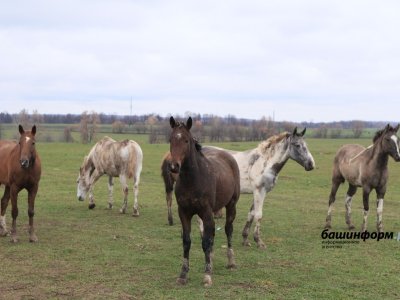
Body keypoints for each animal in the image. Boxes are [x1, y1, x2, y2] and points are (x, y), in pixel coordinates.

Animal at [168, 116, 239, 288]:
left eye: (186, 140)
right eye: (171, 140)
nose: (174, 166)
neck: (193, 179)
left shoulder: (205, 212)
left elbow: (206, 241)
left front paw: (207, 276)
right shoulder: (184, 213)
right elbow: (187, 241)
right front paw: (183, 275)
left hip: (231, 205)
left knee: (228, 230)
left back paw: (231, 262)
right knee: (213, 233)